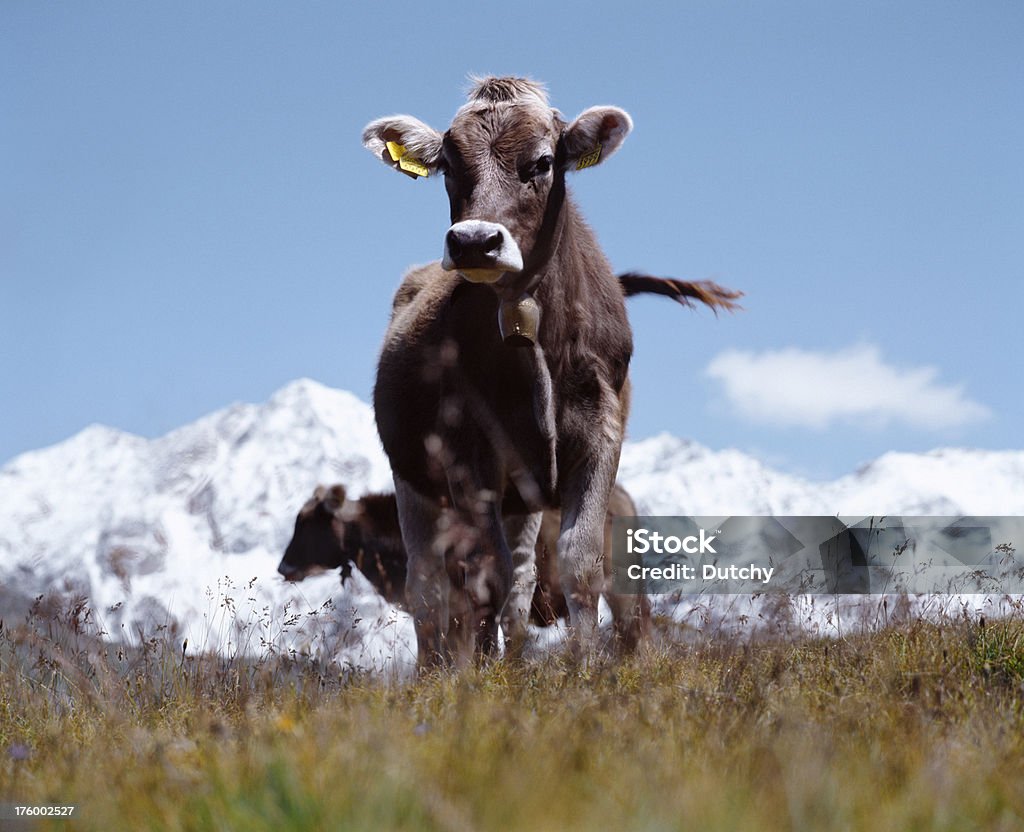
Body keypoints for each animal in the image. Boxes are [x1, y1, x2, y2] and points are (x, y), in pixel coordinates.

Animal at [364, 74, 741, 668]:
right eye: (448, 164)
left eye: (542, 162)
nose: (474, 241)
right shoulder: (468, 451)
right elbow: (483, 578)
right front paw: (483, 677)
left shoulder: (599, 433)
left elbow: (578, 563)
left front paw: (583, 667)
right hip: (415, 481)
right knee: (430, 588)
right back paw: (438, 671)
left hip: (524, 496)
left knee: (517, 581)